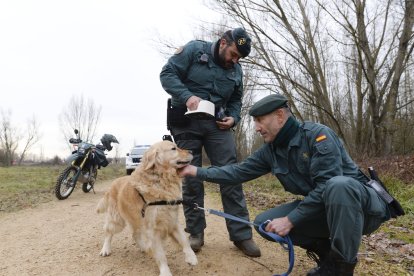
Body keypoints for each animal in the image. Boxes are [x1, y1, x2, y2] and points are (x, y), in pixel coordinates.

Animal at [96, 141, 196, 274]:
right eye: (173, 148)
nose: (191, 151)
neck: (160, 180)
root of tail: (113, 183)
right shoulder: (152, 230)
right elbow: (161, 255)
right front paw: (165, 272)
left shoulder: (172, 220)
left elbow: (184, 240)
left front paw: (191, 257)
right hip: (117, 220)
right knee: (108, 232)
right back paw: (105, 249)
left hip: (137, 220)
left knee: (135, 234)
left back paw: (144, 247)